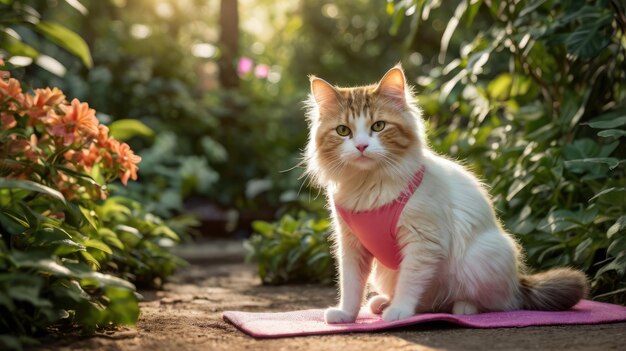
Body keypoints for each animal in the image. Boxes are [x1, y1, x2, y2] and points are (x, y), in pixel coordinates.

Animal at [304, 65, 588, 324]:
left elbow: (409, 283)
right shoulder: (351, 245)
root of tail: (519, 282)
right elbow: (351, 286)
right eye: (343, 131)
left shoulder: (422, 242)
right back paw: (382, 303)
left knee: (500, 303)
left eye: (379, 126)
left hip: (481, 258)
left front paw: (399, 312)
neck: (368, 185)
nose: (362, 146)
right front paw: (346, 315)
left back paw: (461, 307)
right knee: (427, 302)